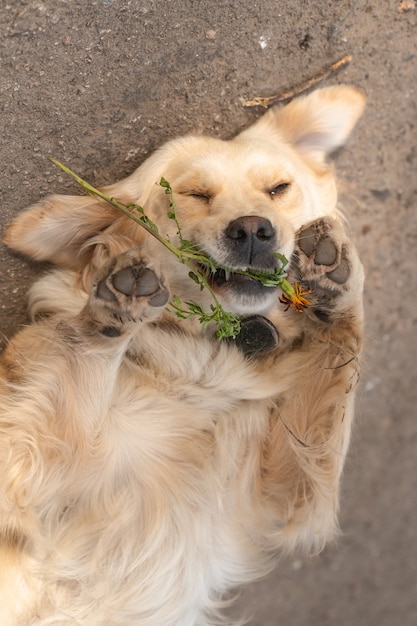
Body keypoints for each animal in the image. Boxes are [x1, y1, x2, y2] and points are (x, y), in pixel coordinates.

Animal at [0, 84, 364, 624]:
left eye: (278, 188)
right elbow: (83, 359)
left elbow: (343, 359)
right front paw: (114, 308)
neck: (201, 360)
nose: (253, 229)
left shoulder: (288, 493)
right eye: (195, 195)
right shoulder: (26, 465)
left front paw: (334, 278)